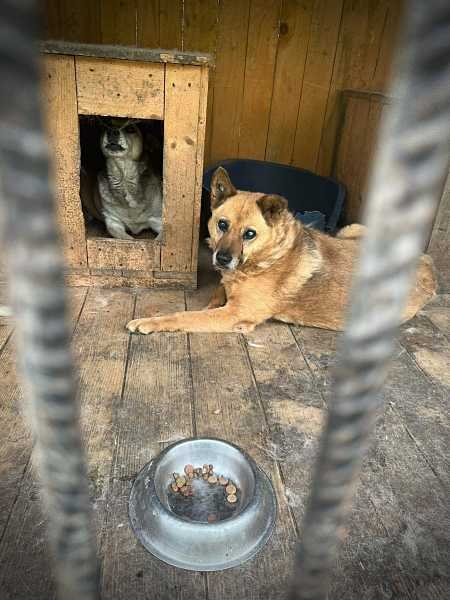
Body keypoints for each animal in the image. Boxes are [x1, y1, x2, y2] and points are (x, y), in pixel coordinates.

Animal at [126, 166, 436, 332]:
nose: (222, 259)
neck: (267, 257)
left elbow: (186, 316)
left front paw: (150, 322)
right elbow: (214, 297)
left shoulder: (234, 314)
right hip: (354, 229)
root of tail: (428, 264)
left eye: (250, 234)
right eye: (222, 224)